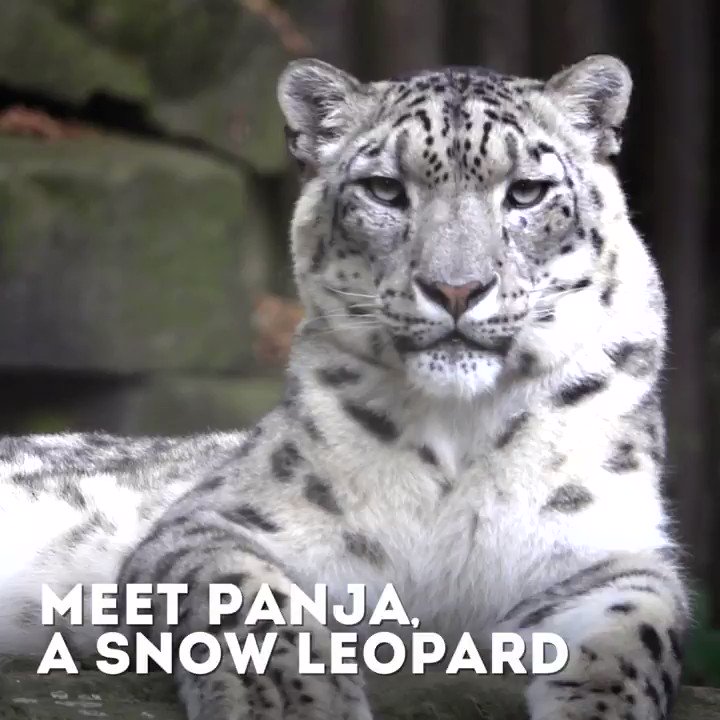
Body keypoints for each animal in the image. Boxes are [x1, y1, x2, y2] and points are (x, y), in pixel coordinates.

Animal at [0, 54, 689, 720]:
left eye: (526, 192)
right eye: (385, 189)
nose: (456, 288)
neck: (459, 441)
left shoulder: (608, 553)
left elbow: (636, 628)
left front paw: (602, 707)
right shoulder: (213, 521)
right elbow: (241, 593)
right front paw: (283, 699)